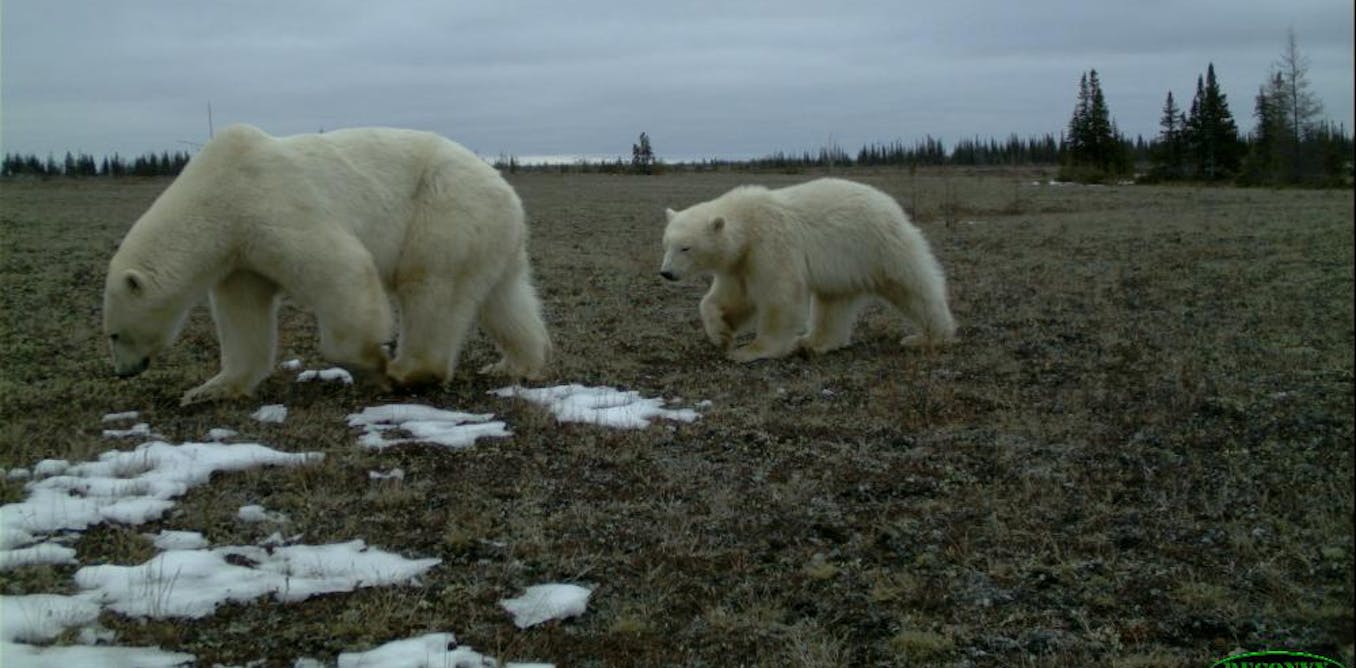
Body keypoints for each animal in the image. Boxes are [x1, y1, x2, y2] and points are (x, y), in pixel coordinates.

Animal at [103, 123, 551, 405]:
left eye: (113, 334)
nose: (123, 372)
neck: (217, 196)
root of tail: (506, 190)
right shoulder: (241, 255)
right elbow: (243, 318)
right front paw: (207, 390)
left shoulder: (271, 206)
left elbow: (342, 269)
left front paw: (374, 367)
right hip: (491, 235)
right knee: (505, 300)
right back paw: (515, 364)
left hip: (444, 210)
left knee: (430, 285)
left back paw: (409, 370)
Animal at [659, 178, 955, 362]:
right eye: (666, 244)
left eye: (685, 247)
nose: (666, 273)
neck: (748, 222)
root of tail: (890, 204)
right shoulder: (740, 262)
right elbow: (729, 298)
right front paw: (720, 334)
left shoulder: (770, 245)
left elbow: (779, 295)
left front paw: (750, 351)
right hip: (844, 265)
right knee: (833, 303)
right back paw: (813, 342)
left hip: (879, 246)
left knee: (913, 287)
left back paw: (928, 337)